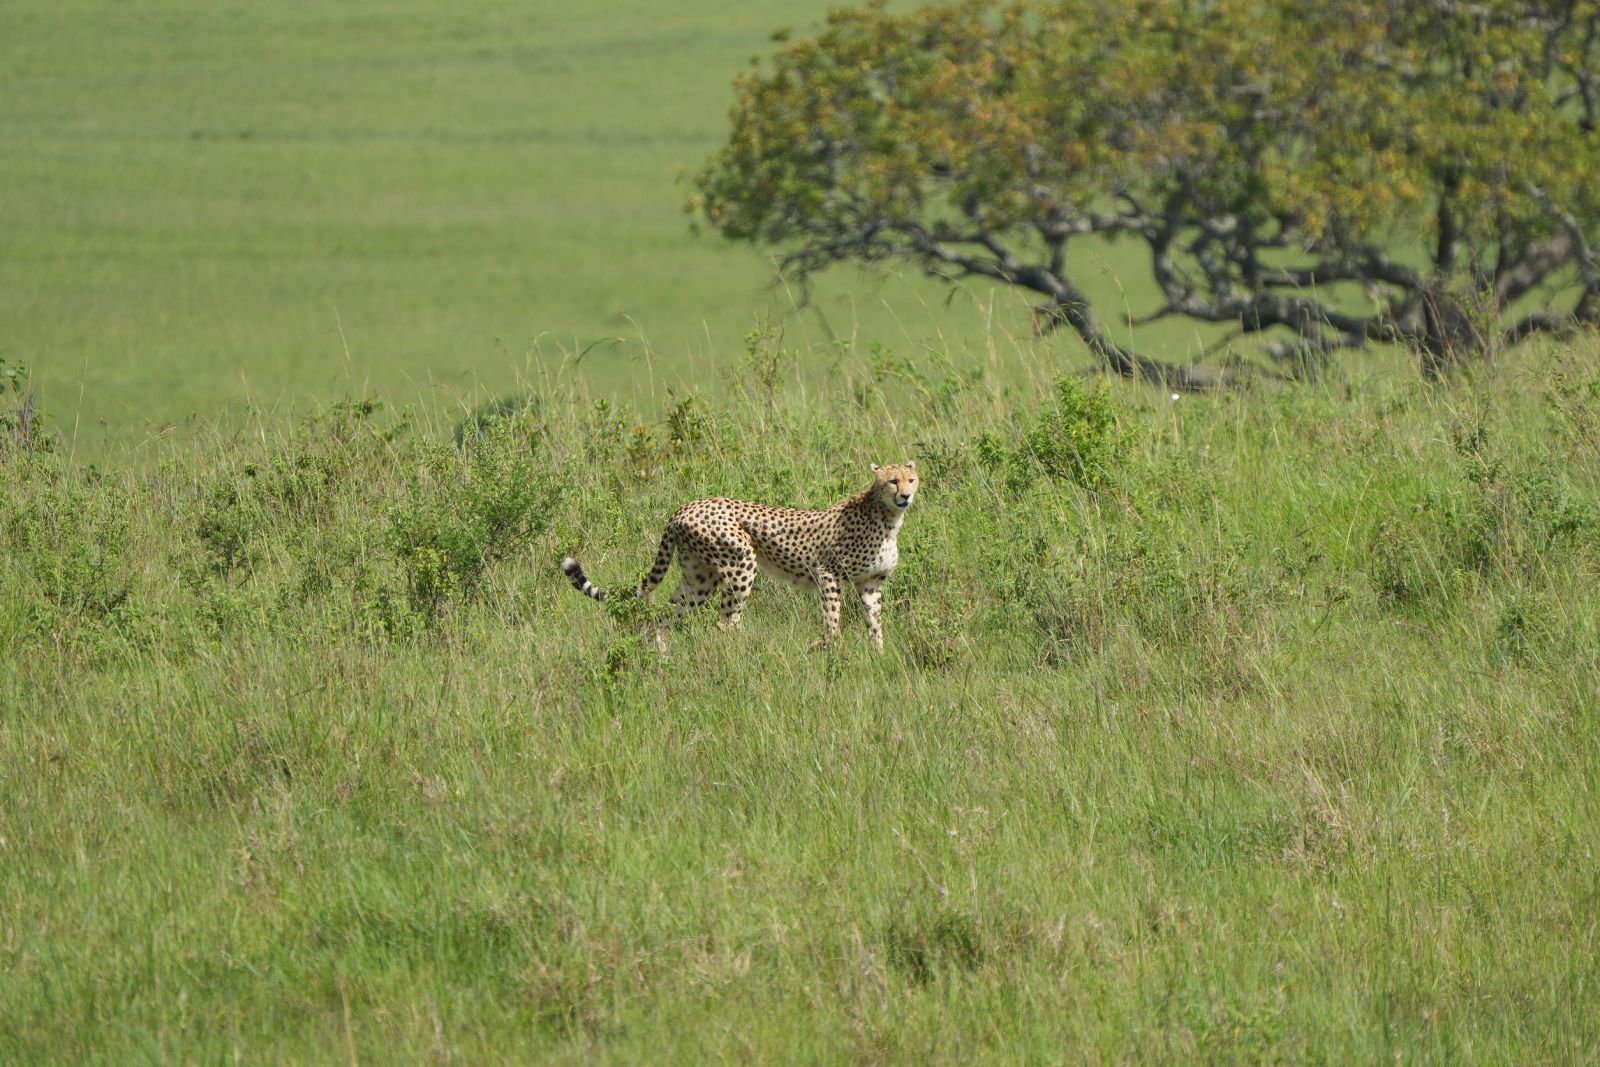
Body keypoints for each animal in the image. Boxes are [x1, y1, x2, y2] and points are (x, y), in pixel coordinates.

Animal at [561, 462, 919, 651]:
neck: (886, 516)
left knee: (664, 614)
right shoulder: (827, 572)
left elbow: (876, 624)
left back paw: (663, 655)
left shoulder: (870, 585)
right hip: (741, 562)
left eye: (911, 479)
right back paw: (742, 657)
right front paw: (825, 648)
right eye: (892, 481)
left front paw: (877, 656)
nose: (906, 495)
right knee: (725, 622)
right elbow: (832, 618)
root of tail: (685, 507)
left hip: (699, 579)